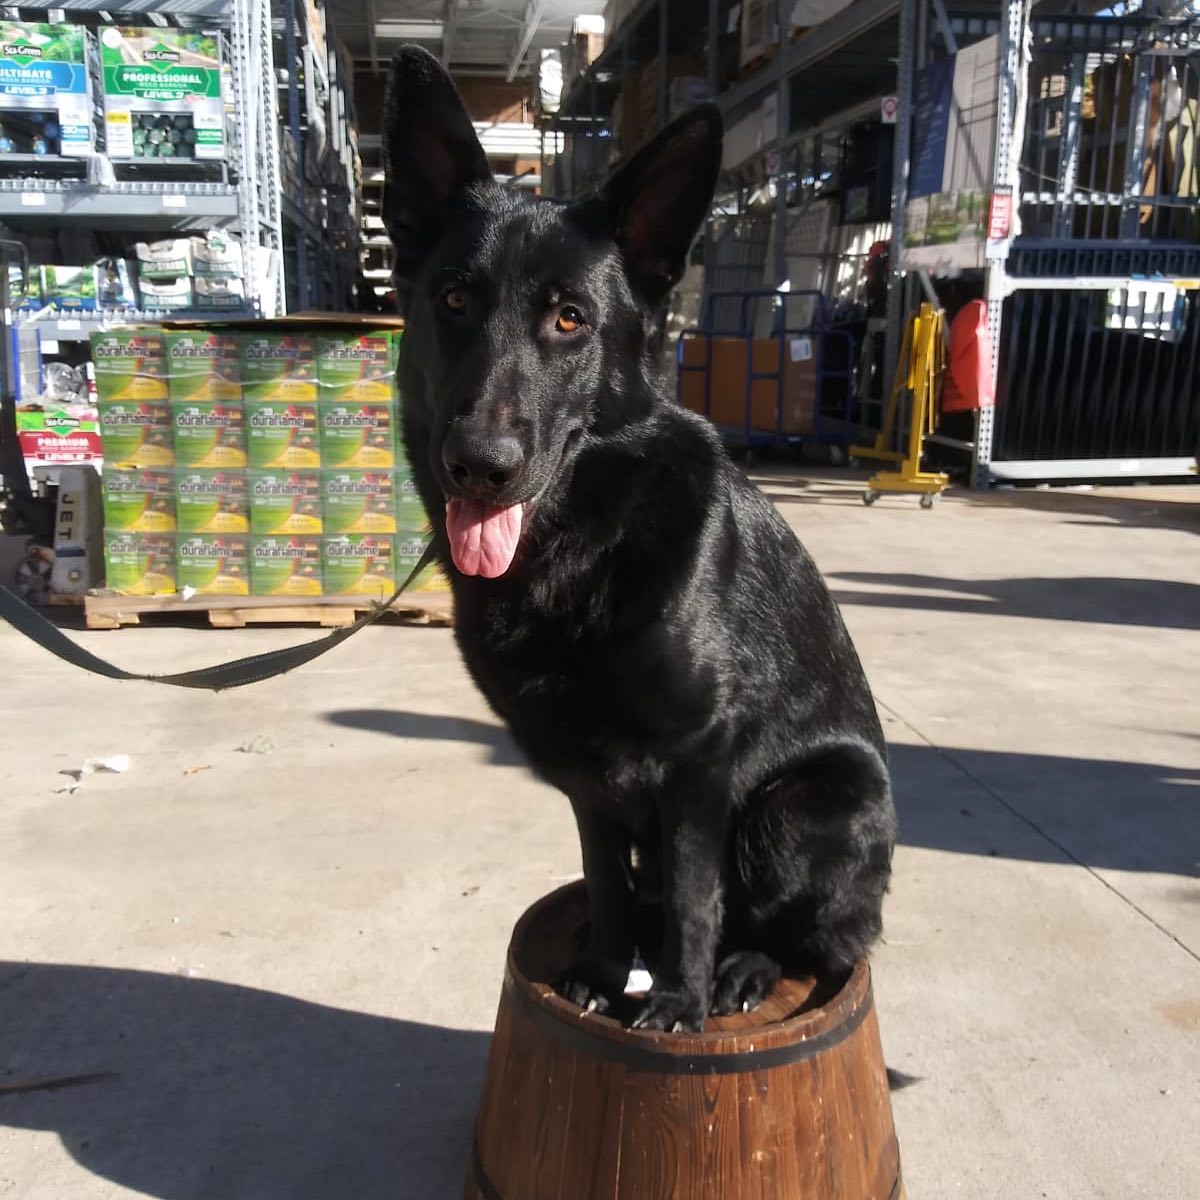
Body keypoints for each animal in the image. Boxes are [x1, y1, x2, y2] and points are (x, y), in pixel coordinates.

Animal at [383, 47, 895, 1034]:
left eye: (569, 320)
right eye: (453, 299)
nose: (479, 467)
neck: (582, 546)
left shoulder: (699, 763)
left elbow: (697, 896)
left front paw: (680, 998)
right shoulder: (584, 777)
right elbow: (604, 882)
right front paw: (601, 967)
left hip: (802, 806)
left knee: (820, 943)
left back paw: (744, 970)